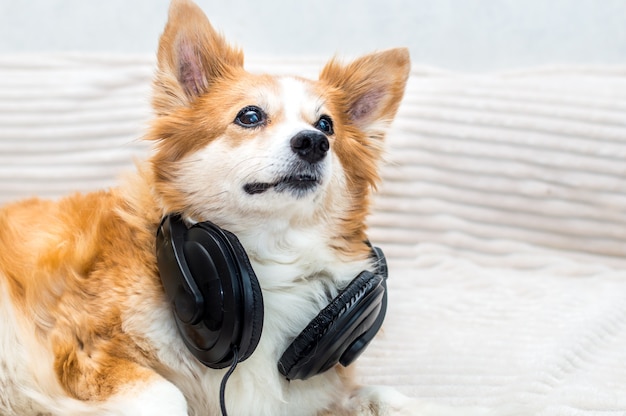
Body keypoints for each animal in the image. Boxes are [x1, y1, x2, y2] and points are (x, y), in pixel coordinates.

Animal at [0, 0, 428, 416]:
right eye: (250, 116)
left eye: (326, 125)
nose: (313, 142)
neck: (262, 264)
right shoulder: (82, 347)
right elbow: (168, 396)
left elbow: (372, 394)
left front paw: (412, 403)